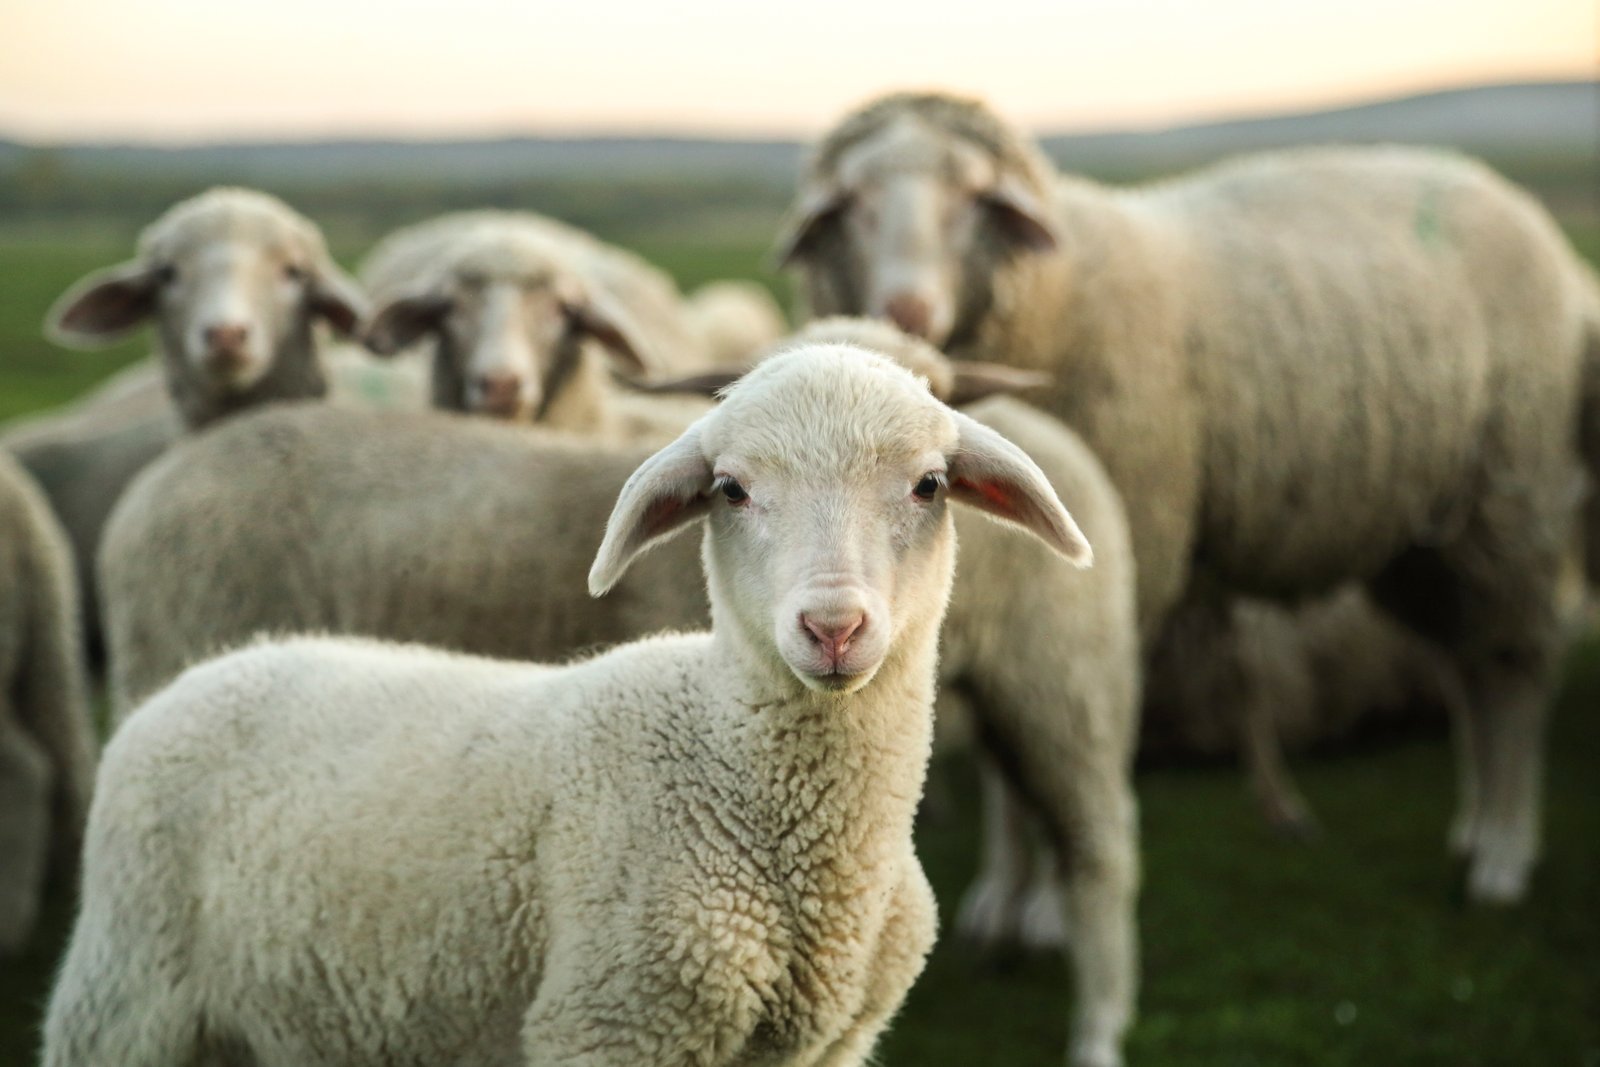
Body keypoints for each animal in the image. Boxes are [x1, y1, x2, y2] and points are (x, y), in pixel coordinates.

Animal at [50, 343, 1093, 1067]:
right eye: (730, 488)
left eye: (929, 483)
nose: (833, 626)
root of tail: (214, 671)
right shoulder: (611, 1019)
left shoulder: (824, 1045)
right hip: (123, 998)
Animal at [778, 91, 1600, 903]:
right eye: (852, 202)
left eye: (975, 199)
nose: (906, 310)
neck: (1058, 298)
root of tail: (1505, 193)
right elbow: (998, 754)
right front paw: (1001, 892)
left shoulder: (1101, 571)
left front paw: (1044, 901)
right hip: (1427, 534)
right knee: (1467, 666)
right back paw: (1474, 826)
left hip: (1513, 492)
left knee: (1515, 669)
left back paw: (1504, 852)